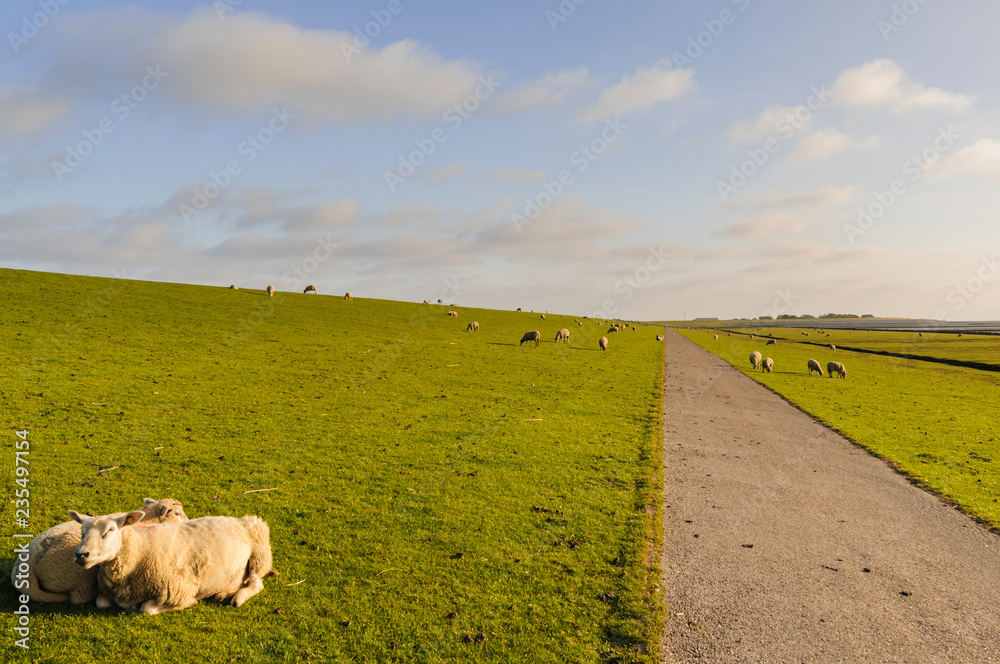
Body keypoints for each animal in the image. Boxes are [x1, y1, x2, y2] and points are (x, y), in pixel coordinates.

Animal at [70, 508, 274, 616]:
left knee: (256, 583)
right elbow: (100, 602)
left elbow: (147, 608)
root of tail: (239, 519)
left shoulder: (178, 589)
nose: (81, 555)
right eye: (82, 532)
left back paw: (238, 598)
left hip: (260, 556)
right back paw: (224, 594)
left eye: (110, 530)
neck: (140, 548)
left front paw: (191, 602)